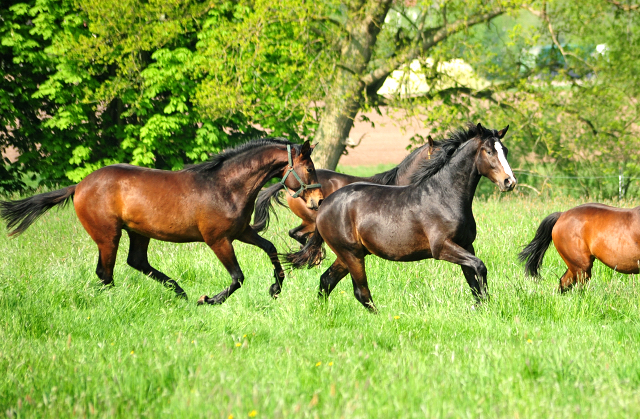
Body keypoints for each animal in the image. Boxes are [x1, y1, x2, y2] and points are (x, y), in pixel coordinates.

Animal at [2, 139, 324, 306]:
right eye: (309, 168)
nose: (318, 201)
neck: (225, 186)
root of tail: (79, 186)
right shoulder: (218, 240)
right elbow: (237, 277)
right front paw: (209, 299)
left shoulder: (241, 232)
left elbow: (270, 248)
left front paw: (275, 288)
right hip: (108, 235)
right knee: (106, 273)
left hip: (138, 233)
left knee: (135, 262)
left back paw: (179, 292)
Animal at [284, 123, 516, 314]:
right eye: (488, 151)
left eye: (504, 150)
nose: (509, 182)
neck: (444, 196)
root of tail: (325, 204)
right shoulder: (442, 248)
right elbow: (479, 267)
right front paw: (482, 307)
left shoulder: (466, 245)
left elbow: (474, 279)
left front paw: (482, 306)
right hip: (351, 254)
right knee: (360, 291)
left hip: (348, 254)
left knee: (326, 280)